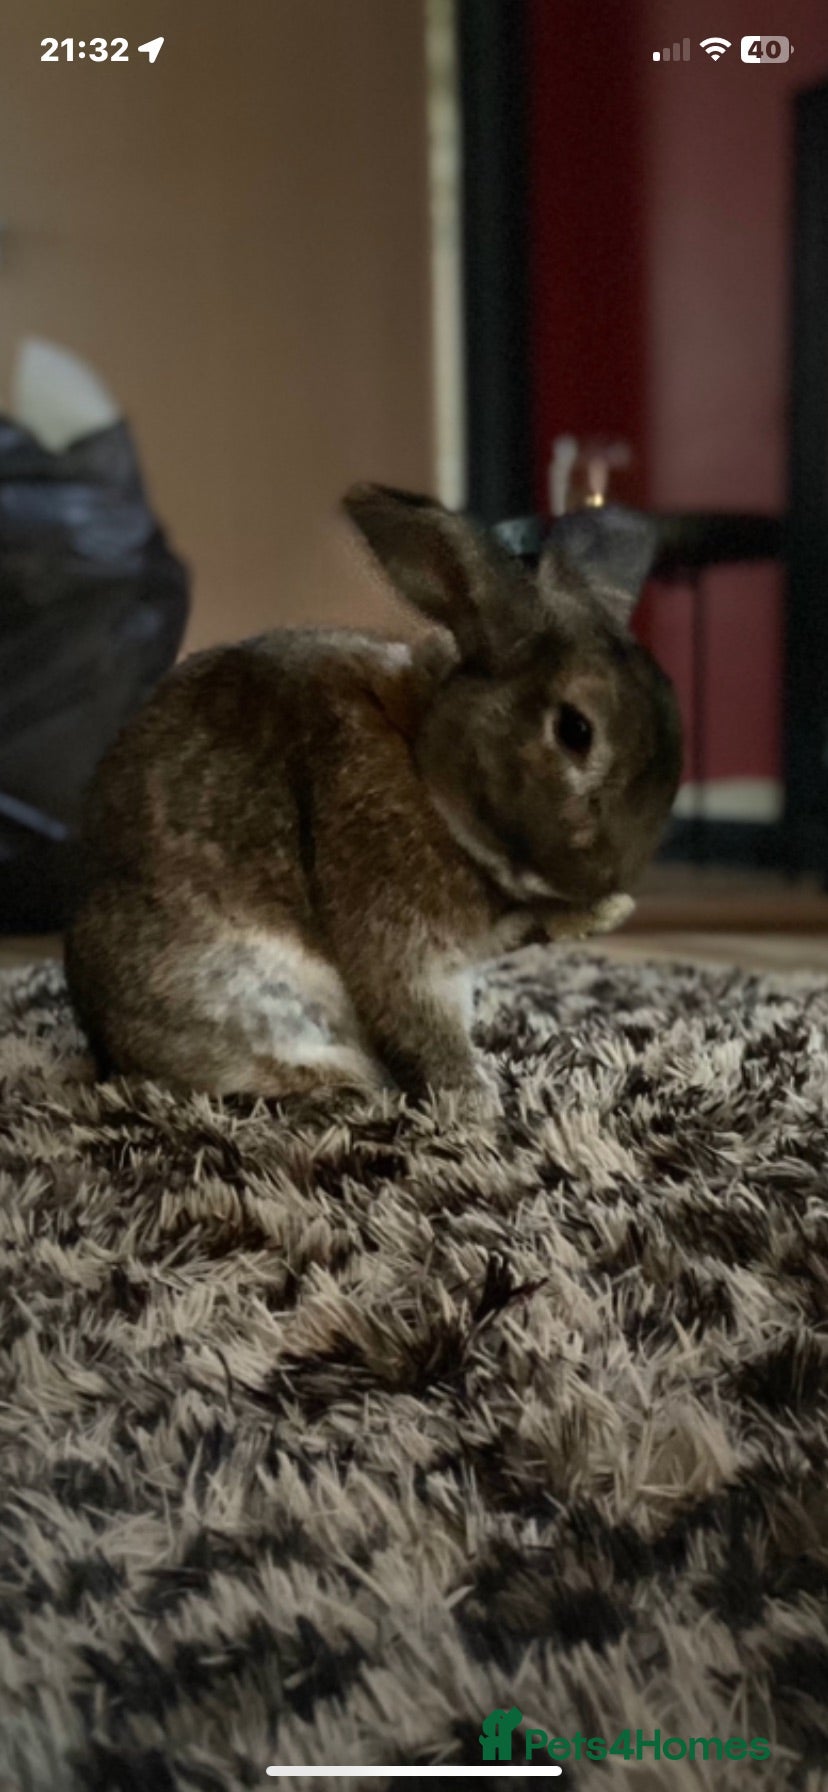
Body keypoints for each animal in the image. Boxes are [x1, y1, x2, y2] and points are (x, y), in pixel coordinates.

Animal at [64, 485, 682, 1103]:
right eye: (575, 730)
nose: (611, 878)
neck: (424, 762)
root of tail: (103, 1039)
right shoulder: (404, 947)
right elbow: (422, 1022)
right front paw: (476, 1104)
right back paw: (357, 1079)